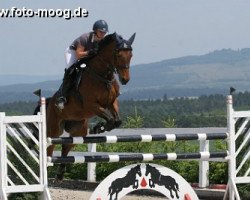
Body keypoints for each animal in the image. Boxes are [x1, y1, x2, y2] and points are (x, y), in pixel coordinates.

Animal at [36, 32, 136, 181]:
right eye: (118, 54)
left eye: (130, 55)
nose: (125, 80)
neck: (102, 75)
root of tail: (48, 102)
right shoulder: (91, 105)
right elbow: (110, 119)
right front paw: (99, 127)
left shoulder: (111, 102)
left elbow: (117, 120)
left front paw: (99, 127)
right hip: (54, 128)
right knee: (50, 146)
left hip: (79, 129)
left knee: (66, 146)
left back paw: (60, 174)